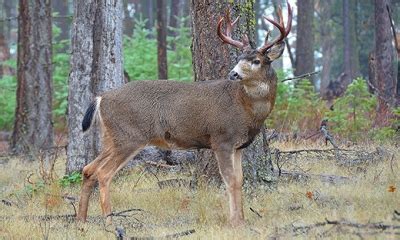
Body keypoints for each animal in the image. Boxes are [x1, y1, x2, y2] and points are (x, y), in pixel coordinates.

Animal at [76, 2, 292, 226]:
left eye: (256, 60)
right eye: (239, 58)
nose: (233, 73)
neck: (245, 108)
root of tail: (101, 98)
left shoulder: (239, 146)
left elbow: (239, 180)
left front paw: (241, 219)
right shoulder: (221, 139)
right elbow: (230, 180)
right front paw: (235, 222)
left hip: (112, 137)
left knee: (88, 169)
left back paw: (81, 220)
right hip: (129, 137)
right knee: (103, 173)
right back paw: (110, 222)